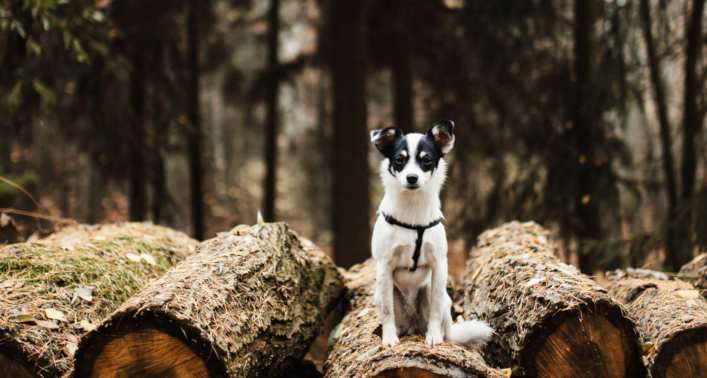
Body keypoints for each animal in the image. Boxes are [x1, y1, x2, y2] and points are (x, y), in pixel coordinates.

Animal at [370, 119, 492, 346]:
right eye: (399, 160)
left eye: (426, 160)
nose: (412, 178)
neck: (413, 208)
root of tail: (413, 323)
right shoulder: (384, 266)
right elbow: (387, 311)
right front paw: (389, 338)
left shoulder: (439, 264)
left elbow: (435, 308)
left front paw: (434, 336)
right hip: (382, 292)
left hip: (437, 294)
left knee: (440, 315)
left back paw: (438, 333)